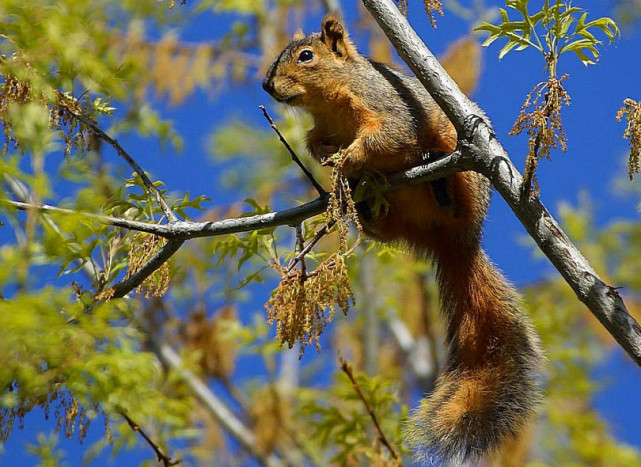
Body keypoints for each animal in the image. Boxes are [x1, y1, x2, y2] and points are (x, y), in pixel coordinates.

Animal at [262, 14, 544, 464]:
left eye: (306, 56)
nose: (267, 86)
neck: (330, 102)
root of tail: (456, 241)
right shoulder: (323, 126)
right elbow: (315, 142)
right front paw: (330, 158)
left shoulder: (388, 106)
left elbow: (389, 135)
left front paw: (348, 158)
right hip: (393, 223)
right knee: (383, 225)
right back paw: (367, 207)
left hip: (462, 164)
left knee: (451, 187)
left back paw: (440, 181)